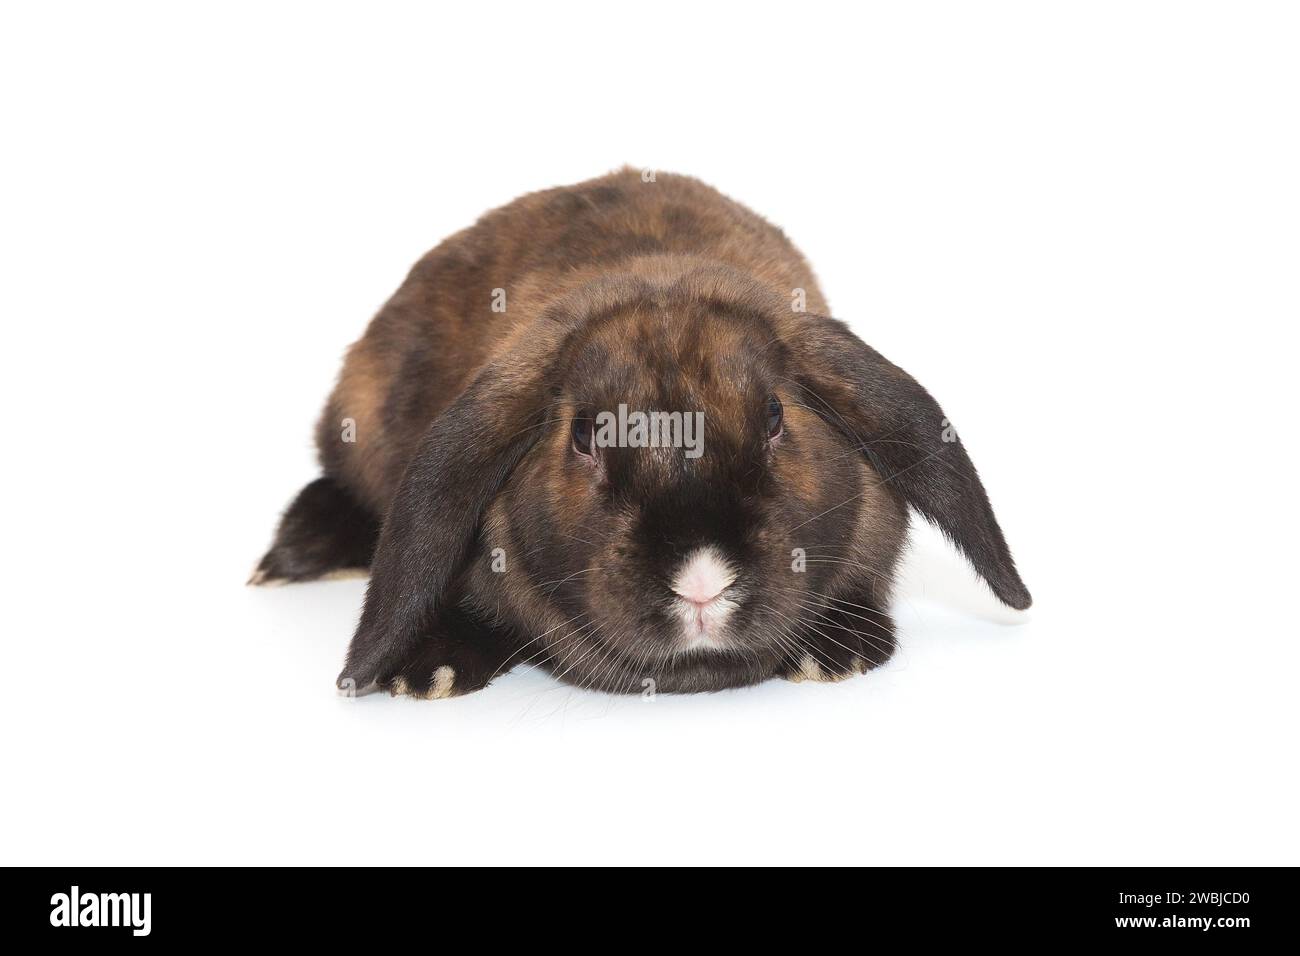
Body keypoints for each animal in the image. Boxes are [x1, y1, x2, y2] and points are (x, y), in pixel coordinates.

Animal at [251, 168, 1031, 698]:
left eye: (775, 416)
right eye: (584, 437)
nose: (702, 581)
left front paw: (837, 652)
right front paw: (427, 667)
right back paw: (299, 550)